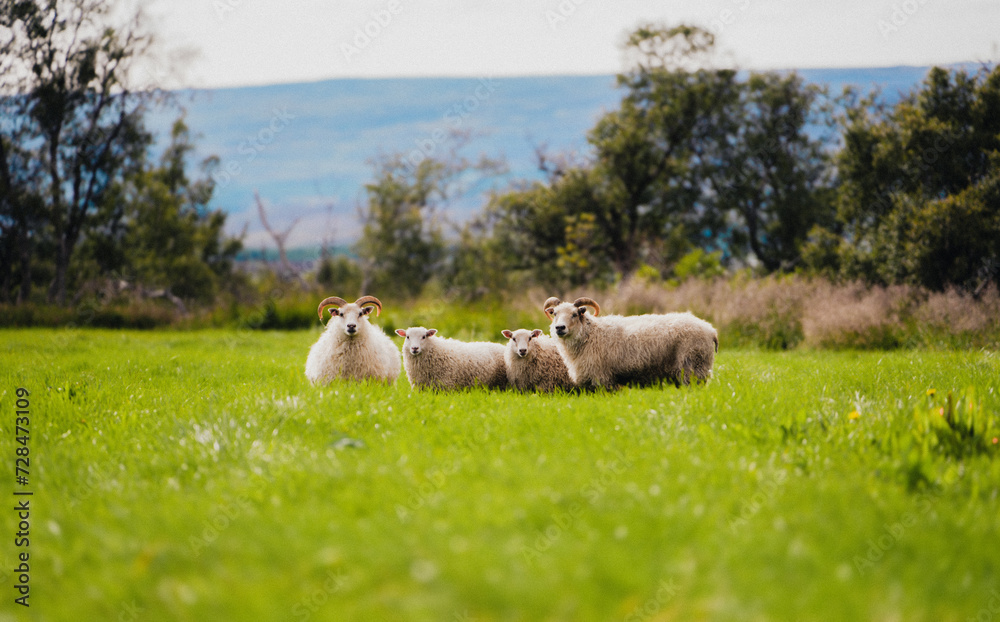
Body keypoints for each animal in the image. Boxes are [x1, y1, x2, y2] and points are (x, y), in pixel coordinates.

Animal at [543, 296, 718, 390]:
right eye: (555, 313)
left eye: (574, 314)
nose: (559, 328)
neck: (590, 334)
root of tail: (711, 330)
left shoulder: (603, 378)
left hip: (694, 368)